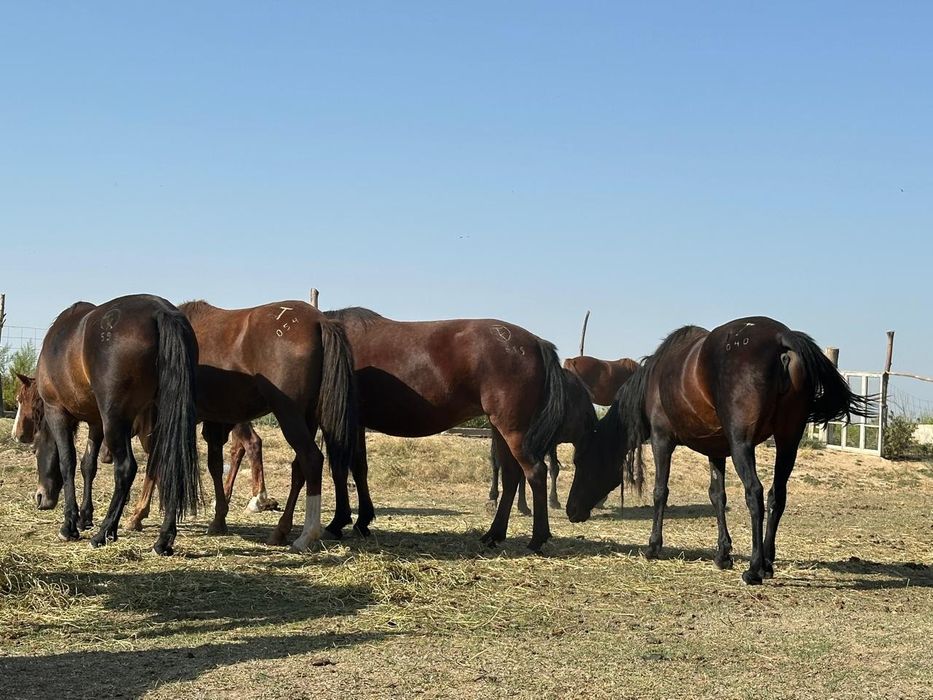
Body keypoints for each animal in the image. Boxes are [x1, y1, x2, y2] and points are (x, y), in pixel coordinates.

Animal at [12, 295, 201, 554]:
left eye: (34, 450)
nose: (40, 498)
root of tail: (161, 312)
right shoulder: (95, 422)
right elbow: (88, 465)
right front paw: (84, 517)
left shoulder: (57, 412)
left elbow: (67, 462)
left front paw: (69, 525)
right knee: (169, 464)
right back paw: (163, 540)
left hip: (116, 421)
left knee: (126, 468)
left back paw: (104, 532)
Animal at [124, 300, 361, 551]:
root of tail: (319, 321)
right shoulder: (215, 422)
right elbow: (215, 465)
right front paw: (219, 519)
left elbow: (155, 463)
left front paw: (138, 514)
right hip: (308, 417)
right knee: (299, 468)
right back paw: (280, 530)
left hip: (289, 414)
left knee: (311, 460)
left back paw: (306, 535)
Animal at [565, 317, 872, 585]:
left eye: (581, 461)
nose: (571, 510)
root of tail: (781, 338)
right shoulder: (716, 450)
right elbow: (717, 496)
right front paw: (722, 554)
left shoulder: (663, 441)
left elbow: (660, 492)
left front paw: (653, 547)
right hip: (788, 442)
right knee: (777, 495)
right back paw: (767, 563)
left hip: (743, 445)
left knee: (755, 493)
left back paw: (754, 569)